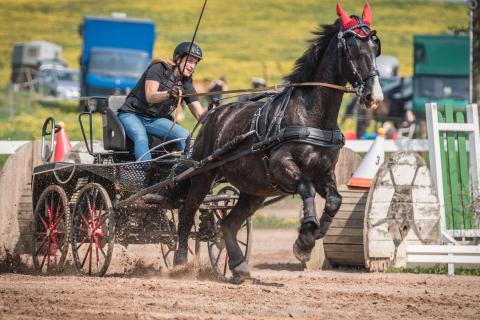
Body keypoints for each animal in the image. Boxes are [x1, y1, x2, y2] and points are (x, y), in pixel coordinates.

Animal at [172, 2, 382, 282]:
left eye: (375, 47)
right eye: (353, 49)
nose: (374, 96)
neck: (310, 115)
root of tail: (213, 114)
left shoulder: (323, 172)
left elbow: (335, 200)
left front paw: (314, 235)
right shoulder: (281, 167)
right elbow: (305, 189)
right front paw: (305, 239)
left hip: (253, 190)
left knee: (228, 223)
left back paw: (238, 266)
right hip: (203, 175)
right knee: (187, 213)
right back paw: (180, 262)